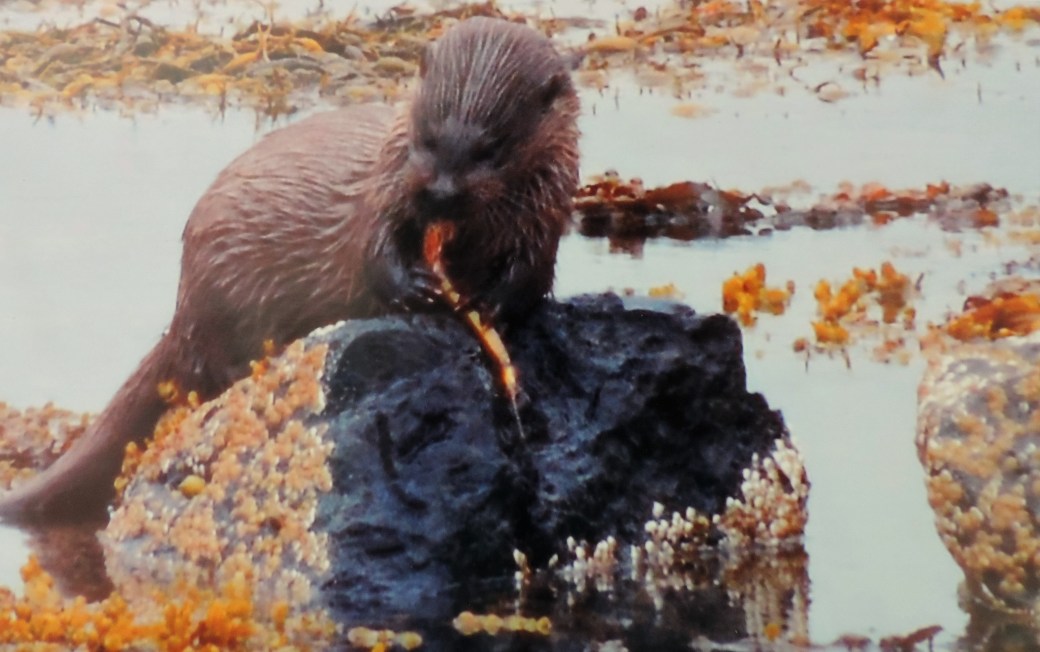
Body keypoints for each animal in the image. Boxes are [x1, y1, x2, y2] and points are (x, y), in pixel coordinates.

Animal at [0, 17, 580, 522]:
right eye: (428, 136)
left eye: (490, 148)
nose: (438, 193)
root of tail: (182, 309)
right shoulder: (387, 187)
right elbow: (376, 252)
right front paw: (418, 288)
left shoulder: (548, 211)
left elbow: (531, 277)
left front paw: (489, 301)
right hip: (218, 292)